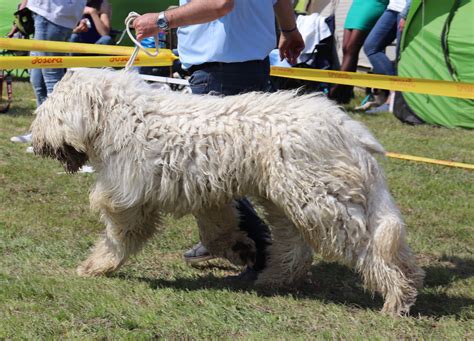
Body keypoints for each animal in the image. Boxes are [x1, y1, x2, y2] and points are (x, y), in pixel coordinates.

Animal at [33, 68, 426, 314]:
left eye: (48, 110)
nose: (36, 142)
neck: (118, 117)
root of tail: (346, 126)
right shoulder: (206, 192)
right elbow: (219, 229)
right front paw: (241, 248)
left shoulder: (130, 194)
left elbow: (121, 234)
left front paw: (95, 264)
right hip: (288, 198)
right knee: (297, 247)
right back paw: (273, 279)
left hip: (321, 199)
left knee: (372, 247)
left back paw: (398, 296)